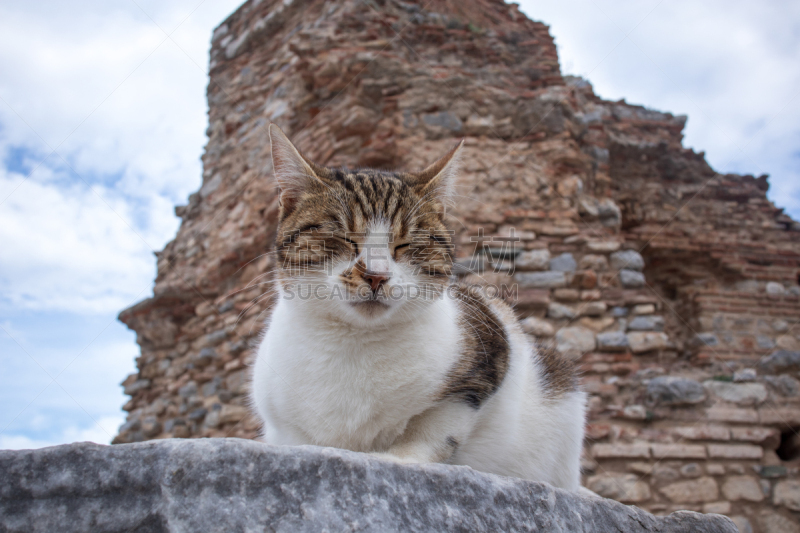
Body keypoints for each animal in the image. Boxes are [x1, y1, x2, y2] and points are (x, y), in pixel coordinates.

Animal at [252, 124, 588, 490]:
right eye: (342, 238)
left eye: (405, 244)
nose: (376, 275)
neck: (356, 341)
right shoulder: (282, 423)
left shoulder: (489, 351)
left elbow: (436, 427)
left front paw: (399, 458)